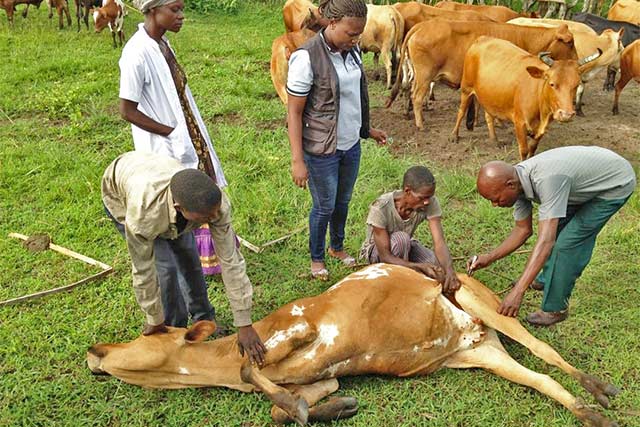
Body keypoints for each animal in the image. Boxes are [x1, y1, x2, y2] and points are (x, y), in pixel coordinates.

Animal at [87, 266, 616, 426]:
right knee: (541, 379)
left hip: (477, 300)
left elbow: (252, 374)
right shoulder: (322, 372)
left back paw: (601, 390)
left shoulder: (297, 326)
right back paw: (592, 413)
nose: (95, 351)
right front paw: (334, 408)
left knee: (545, 352)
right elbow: (287, 404)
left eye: (150, 333)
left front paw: (299, 407)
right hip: (479, 354)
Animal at [384, 20, 580, 130]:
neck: (524, 38)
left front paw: (475, 122)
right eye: (570, 42)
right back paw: (421, 125)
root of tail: (421, 25)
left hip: (414, 74)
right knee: (416, 97)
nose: (577, 62)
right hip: (424, 76)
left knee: (407, 90)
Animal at [450, 36, 600, 160]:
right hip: (466, 89)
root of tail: (482, 38)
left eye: (576, 85)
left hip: (488, 95)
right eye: (552, 83)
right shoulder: (519, 123)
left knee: (488, 115)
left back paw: (494, 139)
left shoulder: (541, 129)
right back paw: (454, 136)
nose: (566, 114)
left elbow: (532, 149)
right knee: (461, 111)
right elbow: (524, 150)